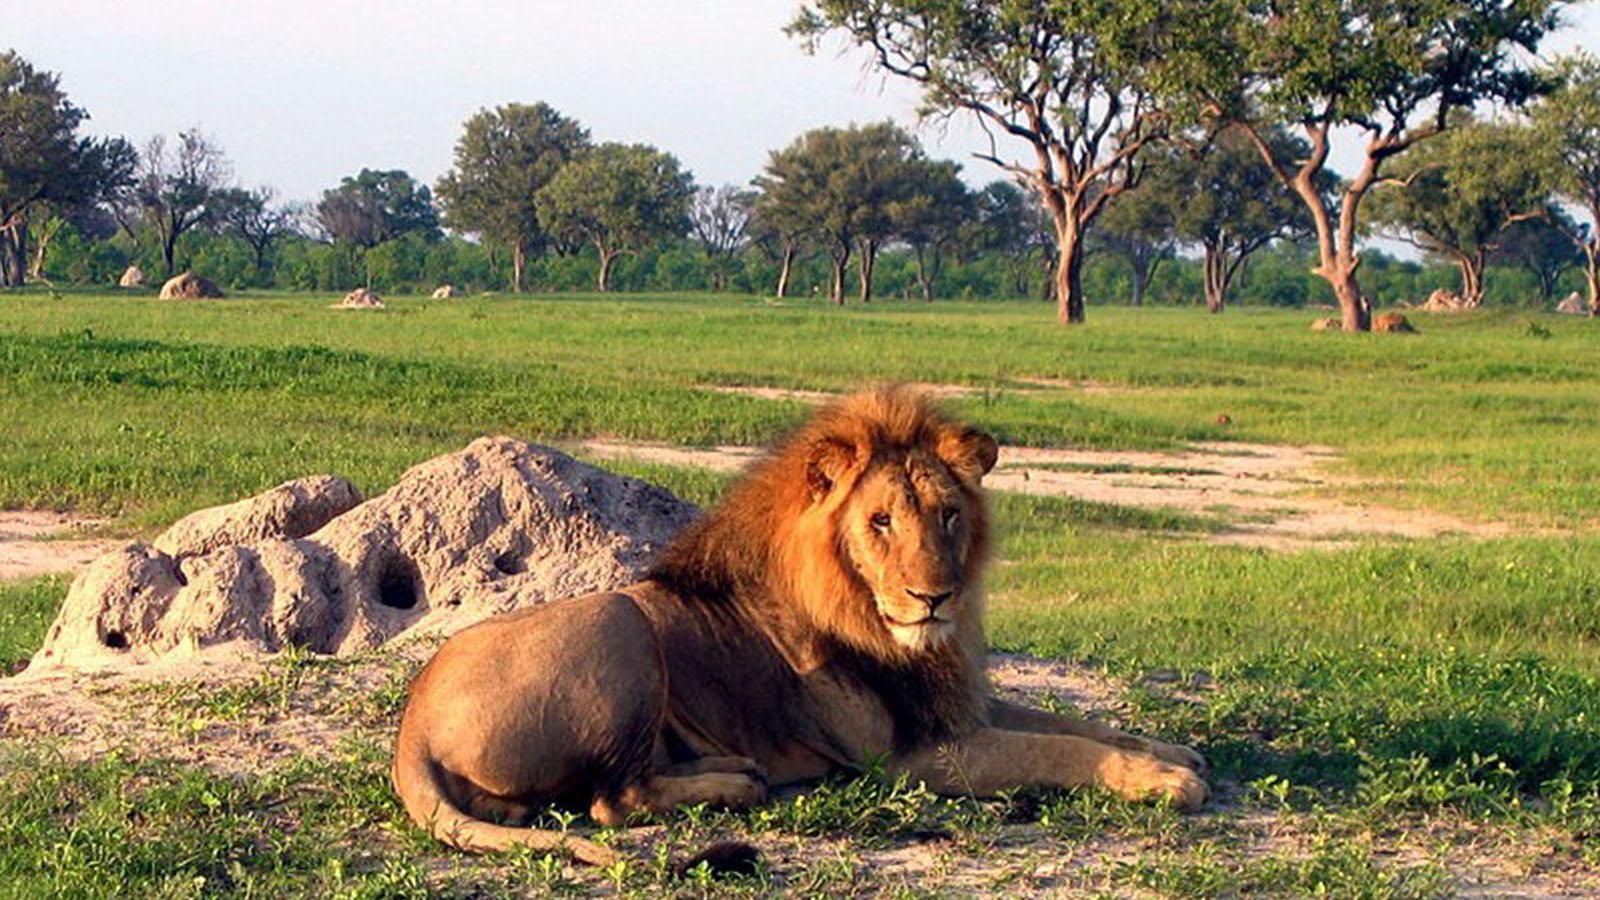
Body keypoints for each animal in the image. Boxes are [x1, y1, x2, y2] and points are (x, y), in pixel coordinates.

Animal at [390, 387, 1209, 864]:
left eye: (948, 514)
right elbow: (1056, 749)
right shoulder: (902, 758)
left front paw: (1173, 752)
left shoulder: (956, 705)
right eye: (880, 521)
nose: (934, 597)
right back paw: (737, 785)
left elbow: (1076, 723)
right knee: (611, 800)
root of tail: (412, 731)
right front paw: (1166, 781)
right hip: (616, 618)